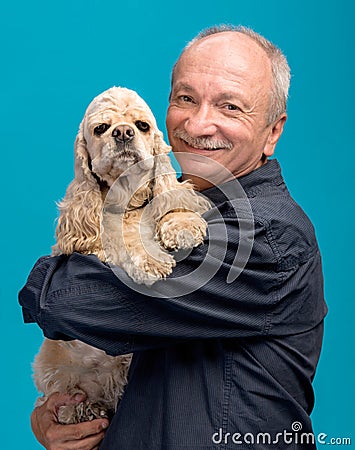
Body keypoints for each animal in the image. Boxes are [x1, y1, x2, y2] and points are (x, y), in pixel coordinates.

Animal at [32, 86, 211, 424]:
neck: (128, 199)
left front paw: (182, 224)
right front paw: (151, 261)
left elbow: (171, 200)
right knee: (62, 397)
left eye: (142, 125)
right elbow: (125, 238)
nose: (123, 132)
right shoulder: (95, 240)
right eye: (101, 128)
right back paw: (84, 409)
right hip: (55, 367)